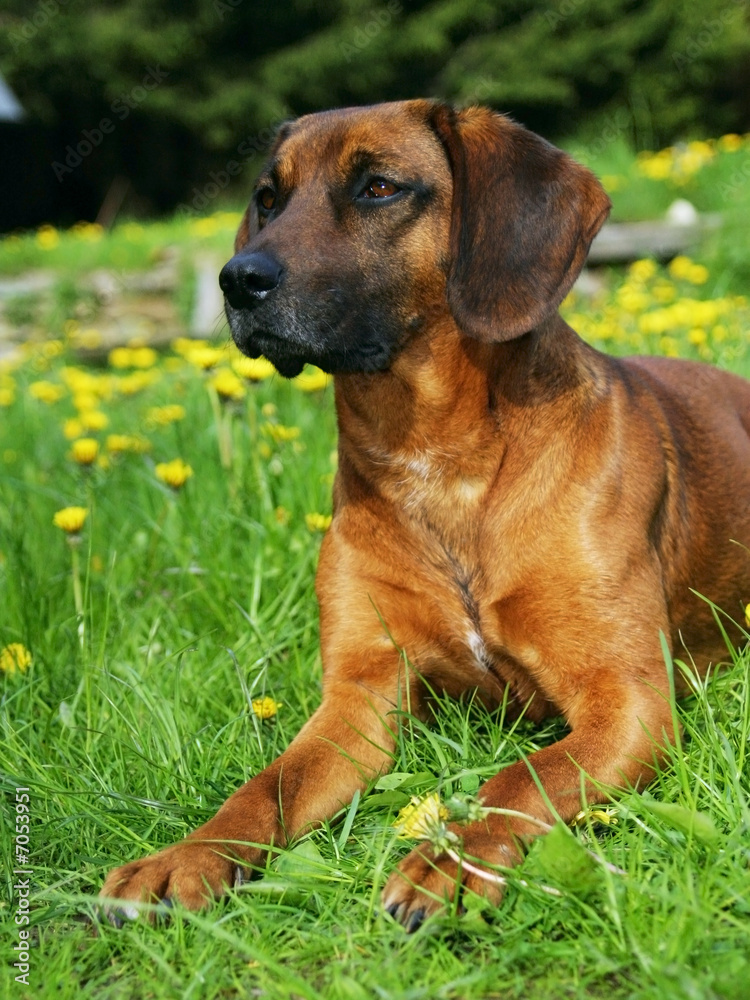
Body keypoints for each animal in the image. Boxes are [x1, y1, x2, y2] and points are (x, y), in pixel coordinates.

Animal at [103, 101, 750, 928]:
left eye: (379, 187)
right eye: (269, 198)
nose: (238, 279)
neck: (437, 462)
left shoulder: (627, 701)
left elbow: (520, 778)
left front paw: (453, 856)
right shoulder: (359, 701)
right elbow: (266, 786)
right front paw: (187, 853)